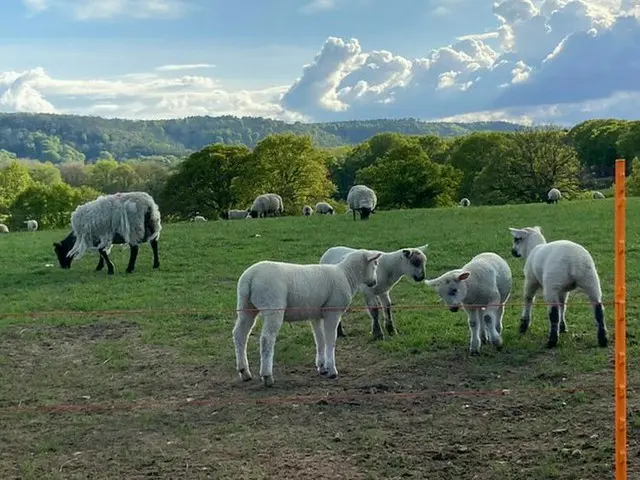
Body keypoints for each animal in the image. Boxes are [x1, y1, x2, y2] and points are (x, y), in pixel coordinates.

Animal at [235, 248, 384, 386]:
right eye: (375, 264)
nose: (374, 282)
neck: (347, 275)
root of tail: (250, 276)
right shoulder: (332, 312)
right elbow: (330, 340)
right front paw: (332, 370)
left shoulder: (315, 315)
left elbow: (320, 339)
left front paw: (322, 366)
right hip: (272, 306)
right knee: (266, 339)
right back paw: (267, 376)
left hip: (245, 306)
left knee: (240, 335)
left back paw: (244, 371)